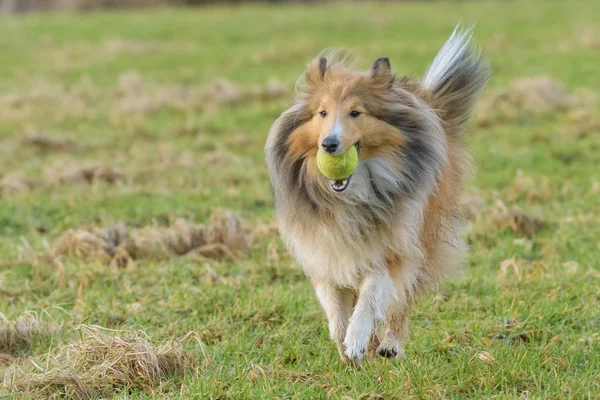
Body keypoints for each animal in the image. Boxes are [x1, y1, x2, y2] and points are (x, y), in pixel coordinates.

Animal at [264, 24, 490, 362]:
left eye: (356, 112)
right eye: (322, 113)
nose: (328, 145)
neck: (350, 194)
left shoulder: (394, 248)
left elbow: (373, 294)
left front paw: (357, 338)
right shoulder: (325, 250)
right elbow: (335, 306)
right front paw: (346, 343)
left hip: (424, 238)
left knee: (401, 302)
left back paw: (388, 345)